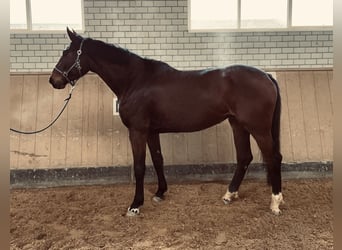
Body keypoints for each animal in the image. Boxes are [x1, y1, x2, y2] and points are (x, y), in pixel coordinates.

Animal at [48, 28, 284, 216]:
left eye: (67, 52)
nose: (53, 80)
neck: (135, 80)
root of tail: (266, 76)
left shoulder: (138, 131)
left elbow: (140, 166)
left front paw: (135, 205)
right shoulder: (152, 131)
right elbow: (158, 160)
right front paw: (160, 192)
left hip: (259, 128)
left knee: (273, 158)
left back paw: (275, 202)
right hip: (238, 125)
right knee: (244, 157)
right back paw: (229, 195)